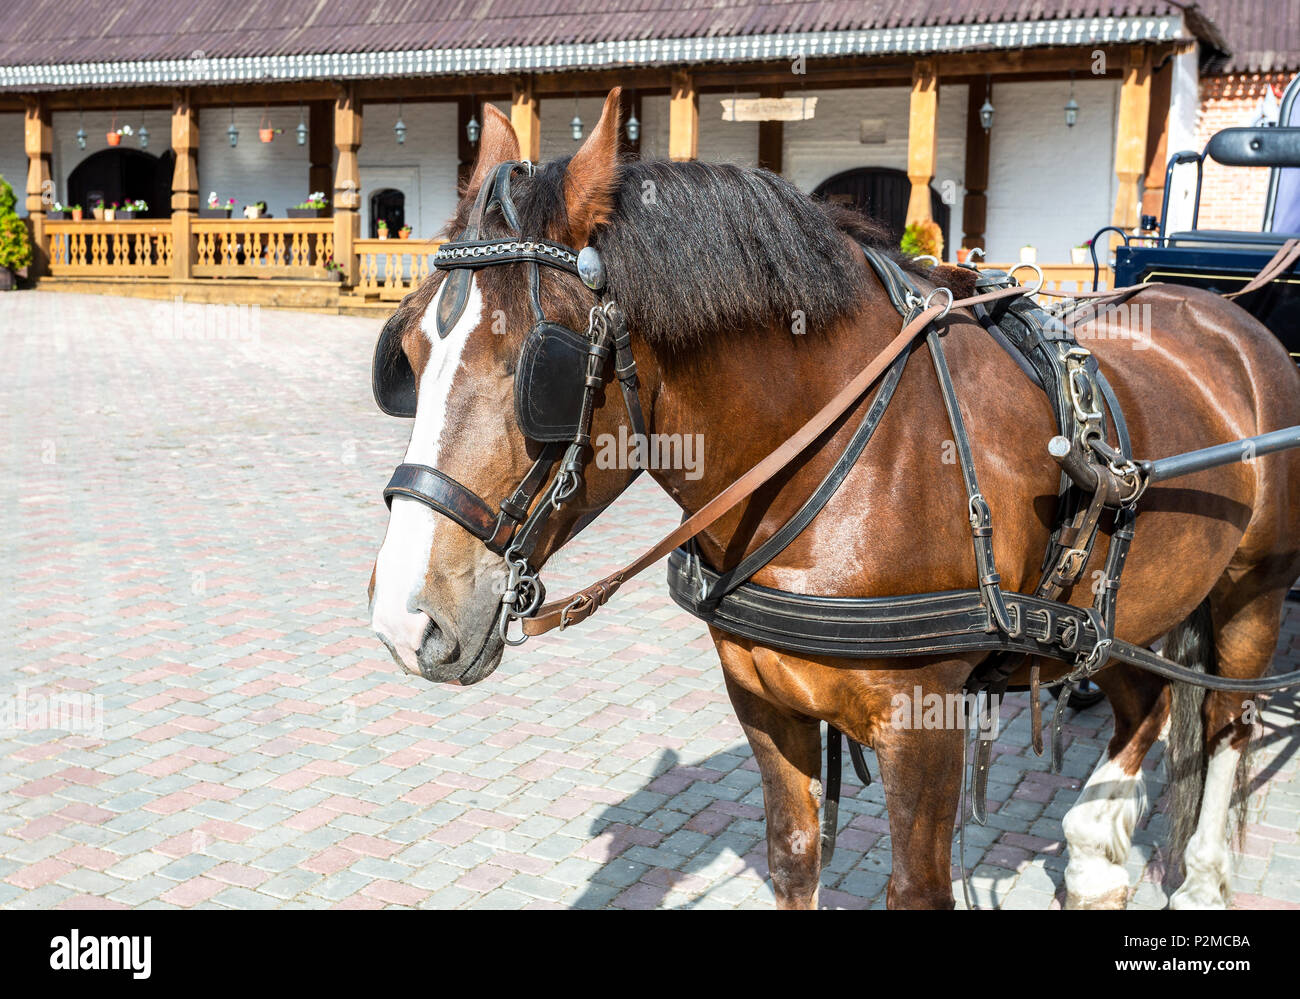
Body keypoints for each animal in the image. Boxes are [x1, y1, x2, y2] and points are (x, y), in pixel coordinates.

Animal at [368, 89, 1300, 909]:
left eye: (539, 370)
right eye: (406, 353)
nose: (406, 621)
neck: (834, 462)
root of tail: (1226, 314)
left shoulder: (925, 721)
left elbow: (917, 887)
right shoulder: (763, 699)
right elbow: (793, 856)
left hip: (1252, 588)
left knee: (1228, 722)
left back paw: (1202, 876)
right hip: (1126, 605)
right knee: (1144, 706)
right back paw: (1099, 852)